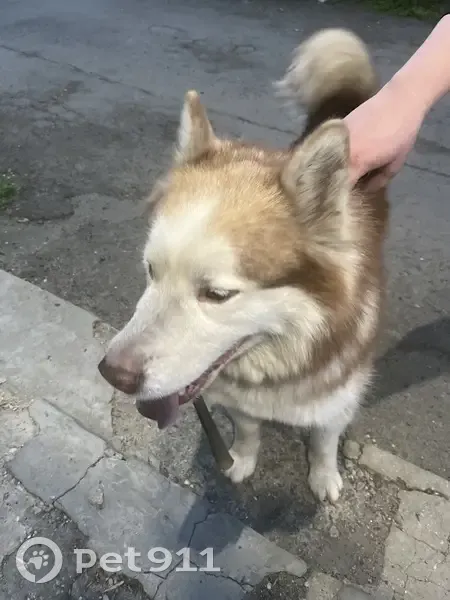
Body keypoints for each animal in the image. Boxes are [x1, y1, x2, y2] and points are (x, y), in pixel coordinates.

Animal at [98, 28, 389, 503]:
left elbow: (324, 441)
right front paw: (242, 461)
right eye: (151, 271)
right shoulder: (239, 403)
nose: (113, 374)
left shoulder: (337, 402)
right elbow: (250, 432)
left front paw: (323, 476)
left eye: (217, 294)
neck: (280, 362)